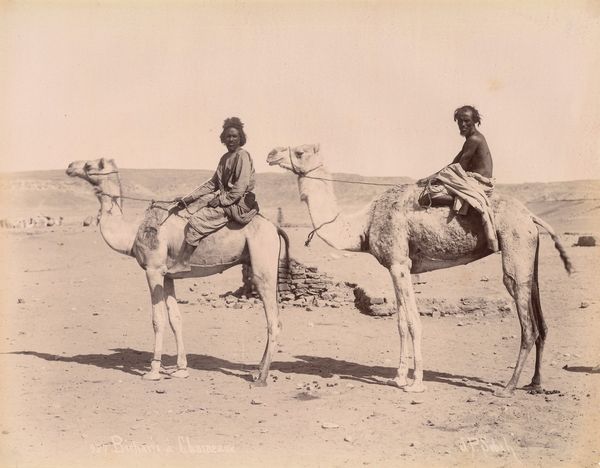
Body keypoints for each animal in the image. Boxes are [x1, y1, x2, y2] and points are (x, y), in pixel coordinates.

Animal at [67, 157, 288, 384]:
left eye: (89, 166)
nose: (69, 167)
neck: (132, 233)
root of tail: (275, 227)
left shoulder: (153, 270)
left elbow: (158, 319)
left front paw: (153, 371)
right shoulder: (168, 275)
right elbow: (175, 318)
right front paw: (181, 369)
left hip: (263, 263)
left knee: (273, 320)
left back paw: (262, 377)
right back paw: (257, 370)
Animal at [270, 144, 576, 396]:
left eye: (299, 151)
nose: (271, 153)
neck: (363, 225)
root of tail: (531, 216)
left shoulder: (399, 264)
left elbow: (413, 323)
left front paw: (416, 382)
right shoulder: (396, 266)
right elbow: (400, 323)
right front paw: (398, 377)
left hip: (515, 246)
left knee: (527, 323)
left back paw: (508, 387)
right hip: (529, 251)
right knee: (540, 318)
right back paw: (535, 384)